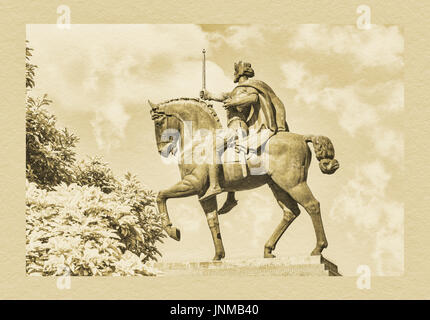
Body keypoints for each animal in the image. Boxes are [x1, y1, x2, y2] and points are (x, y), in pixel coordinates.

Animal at [148, 97, 340, 260]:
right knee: (290, 212)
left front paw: (172, 231)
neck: (198, 142)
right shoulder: (203, 194)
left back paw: (318, 249)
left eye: (158, 121)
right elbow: (212, 221)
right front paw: (218, 256)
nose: (161, 150)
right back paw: (268, 250)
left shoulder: (193, 183)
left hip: (293, 184)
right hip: (277, 186)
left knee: (312, 205)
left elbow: (161, 195)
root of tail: (302, 137)